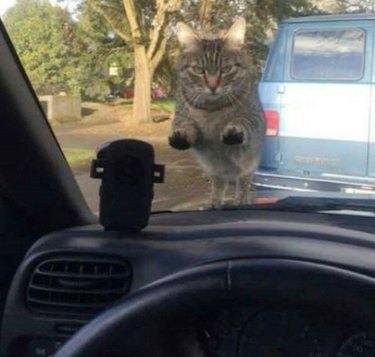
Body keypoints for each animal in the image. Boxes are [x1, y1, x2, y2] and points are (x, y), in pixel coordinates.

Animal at [169, 18, 266, 209]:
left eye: (226, 69)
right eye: (199, 70)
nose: (213, 86)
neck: (212, 109)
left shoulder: (254, 115)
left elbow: (242, 121)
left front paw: (234, 130)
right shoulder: (181, 117)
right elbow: (185, 126)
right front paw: (182, 135)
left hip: (248, 163)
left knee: (243, 182)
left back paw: (240, 201)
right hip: (213, 168)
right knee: (219, 183)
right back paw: (214, 203)